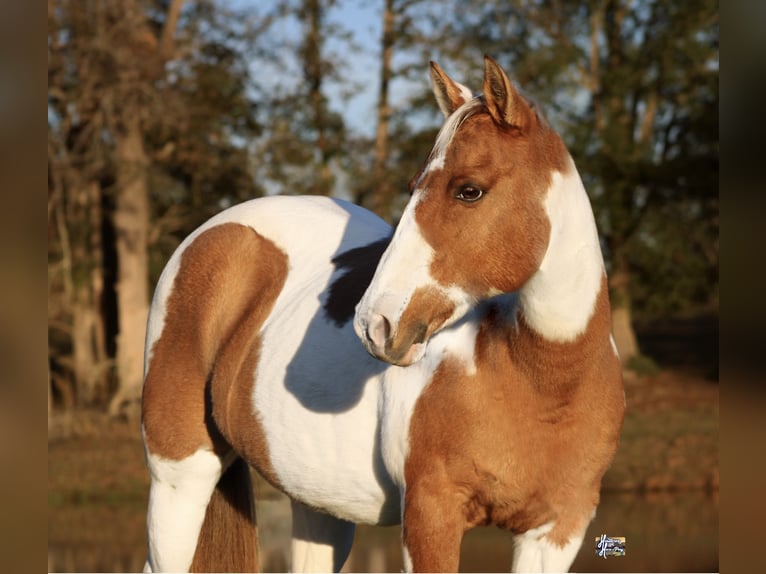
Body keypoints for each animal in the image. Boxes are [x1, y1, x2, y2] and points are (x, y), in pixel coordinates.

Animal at [142, 56, 624, 572]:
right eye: (413, 187)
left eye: (469, 190)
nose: (375, 325)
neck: (543, 381)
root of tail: (213, 230)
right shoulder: (431, 516)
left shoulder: (557, 530)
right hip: (180, 477)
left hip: (317, 505)